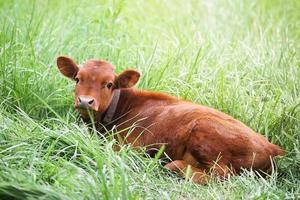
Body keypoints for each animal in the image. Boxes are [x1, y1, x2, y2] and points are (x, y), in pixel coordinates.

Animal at [55, 55, 284, 184]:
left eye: (109, 84)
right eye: (77, 79)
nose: (86, 101)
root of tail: (274, 147)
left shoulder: (129, 146)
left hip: (205, 130)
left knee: (222, 174)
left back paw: (175, 166)